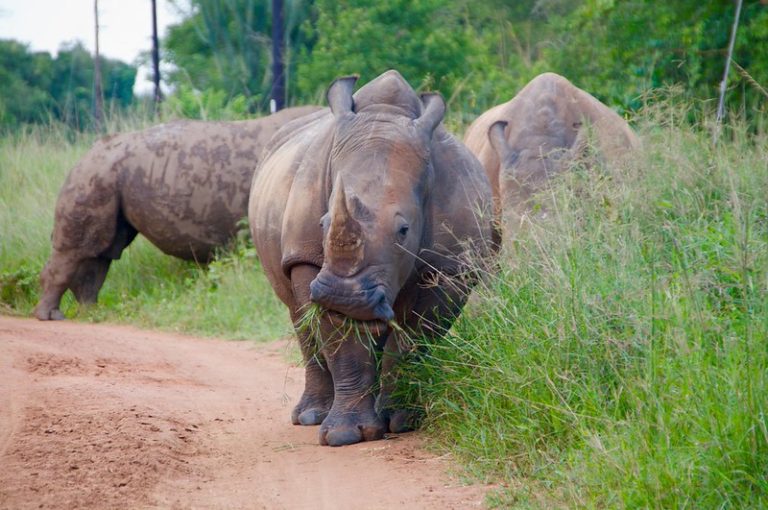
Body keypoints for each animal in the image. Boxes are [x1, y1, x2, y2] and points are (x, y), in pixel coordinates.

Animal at [34, 105, 322, 321]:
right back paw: (51, 316)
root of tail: (89, 151)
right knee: (81, 249)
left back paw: (91, 313)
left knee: (102, 251)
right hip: (96, 174)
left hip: (106, 174)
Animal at [249, 70, 493, 446]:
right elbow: (341, 340)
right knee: (300, 317)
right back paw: (310, 417)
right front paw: (345, 435)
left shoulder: (451, 268)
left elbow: (413, 340)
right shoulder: (308, 258)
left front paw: (403, 420)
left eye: (404, 230)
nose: (344, 295)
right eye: (323, 224)